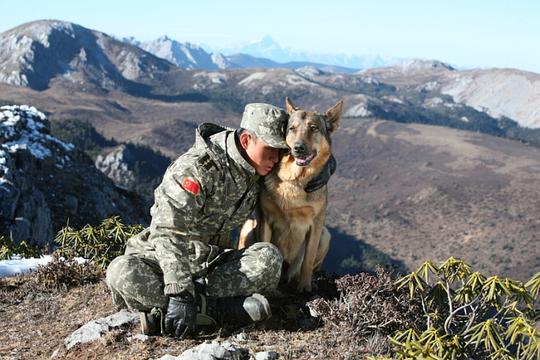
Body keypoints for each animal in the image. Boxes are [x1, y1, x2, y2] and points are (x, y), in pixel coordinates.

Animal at [239, 98, 342, 292]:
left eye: (313, 128)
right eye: (292, 128)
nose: (298, 148)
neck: (294, 180)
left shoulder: (316, 224)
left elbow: (308, 260)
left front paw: (305, 288)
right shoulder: (265, 219)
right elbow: (265, 245)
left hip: (325, 235)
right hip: (248, 226)